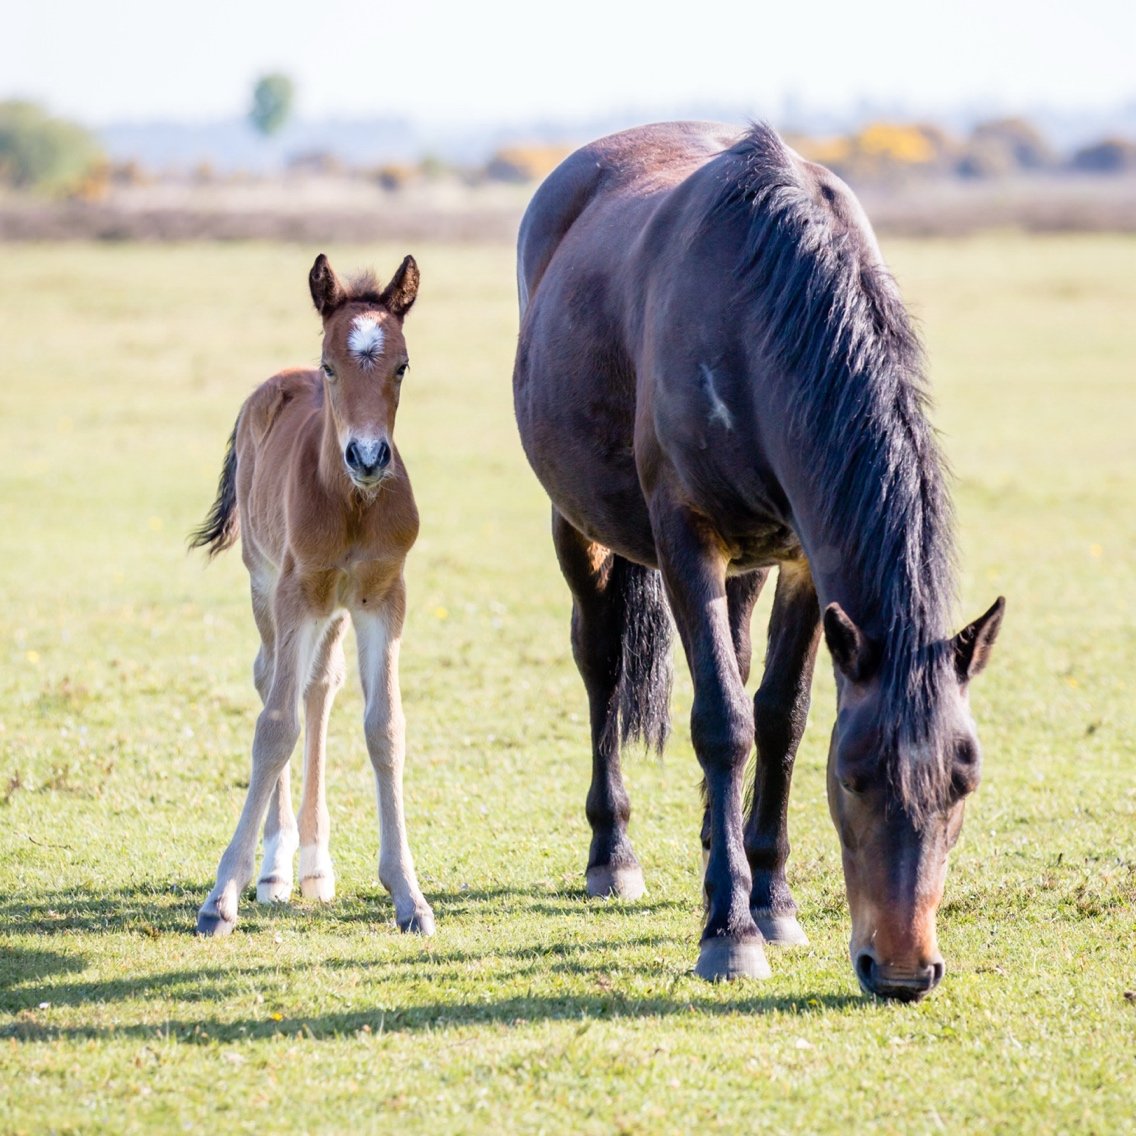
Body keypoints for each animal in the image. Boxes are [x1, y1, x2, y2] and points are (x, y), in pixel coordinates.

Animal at [190, 253, 434, 938]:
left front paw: (408, 894)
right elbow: (274, 728)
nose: (369, 455)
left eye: (402, 365)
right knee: (270, 675)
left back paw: (314, 866)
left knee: (319, 686)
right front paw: (222, 897)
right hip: (266, 581)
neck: (351, 503)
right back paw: (275, 869)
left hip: (334, 607)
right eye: (330, 366)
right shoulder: (295, 592)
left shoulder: (383, 597)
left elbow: (385, 727)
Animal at [512, 122, 1005, 1000]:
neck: (756, 315)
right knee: (603, 667)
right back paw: (614, 854)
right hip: (580, 528)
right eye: (854, 777)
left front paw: (769, 899)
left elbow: (778, 717)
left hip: (748, 566)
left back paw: (723, 842)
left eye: (964, 781)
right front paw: (730, 932)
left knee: (735, 662)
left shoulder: (804, 559)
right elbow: (723, 723)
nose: (904, 971)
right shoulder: (686, 536)